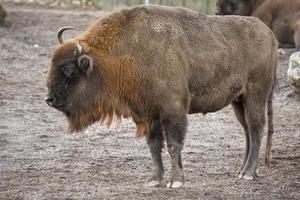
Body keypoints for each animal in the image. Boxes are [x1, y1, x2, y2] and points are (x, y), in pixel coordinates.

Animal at [45, 5, 278, 188]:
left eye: (68, 68)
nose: (50, 99)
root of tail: (269, 34)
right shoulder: (149, 114)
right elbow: (154, 146)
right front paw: (154, 180)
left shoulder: (173, 109)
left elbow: (173, 144)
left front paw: (176, 181)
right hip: (238, 101)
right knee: (247, 131)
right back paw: (242, 171)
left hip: (256, 95)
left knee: (256, 128)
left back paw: (248, 173)